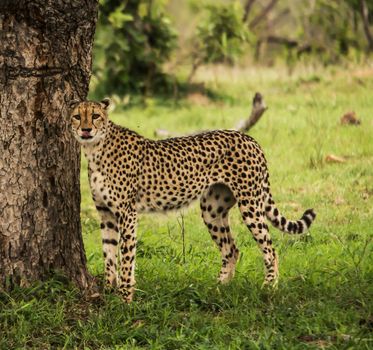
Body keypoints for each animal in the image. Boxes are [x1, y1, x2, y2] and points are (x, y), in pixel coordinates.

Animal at [69, 99, 314, 304]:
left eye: (96, 115)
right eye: (77, 116)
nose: (86, 129)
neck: (95, 148)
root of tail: (248, 138)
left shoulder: (127, 213)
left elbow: (126, 257)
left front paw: (125, 299)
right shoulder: (106, 213)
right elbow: (109, 254)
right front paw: (109, 291)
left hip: (250, 204)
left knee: (270, 249)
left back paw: (269, 287)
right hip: (212, 209)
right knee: (231, 250)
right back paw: (218, 289)